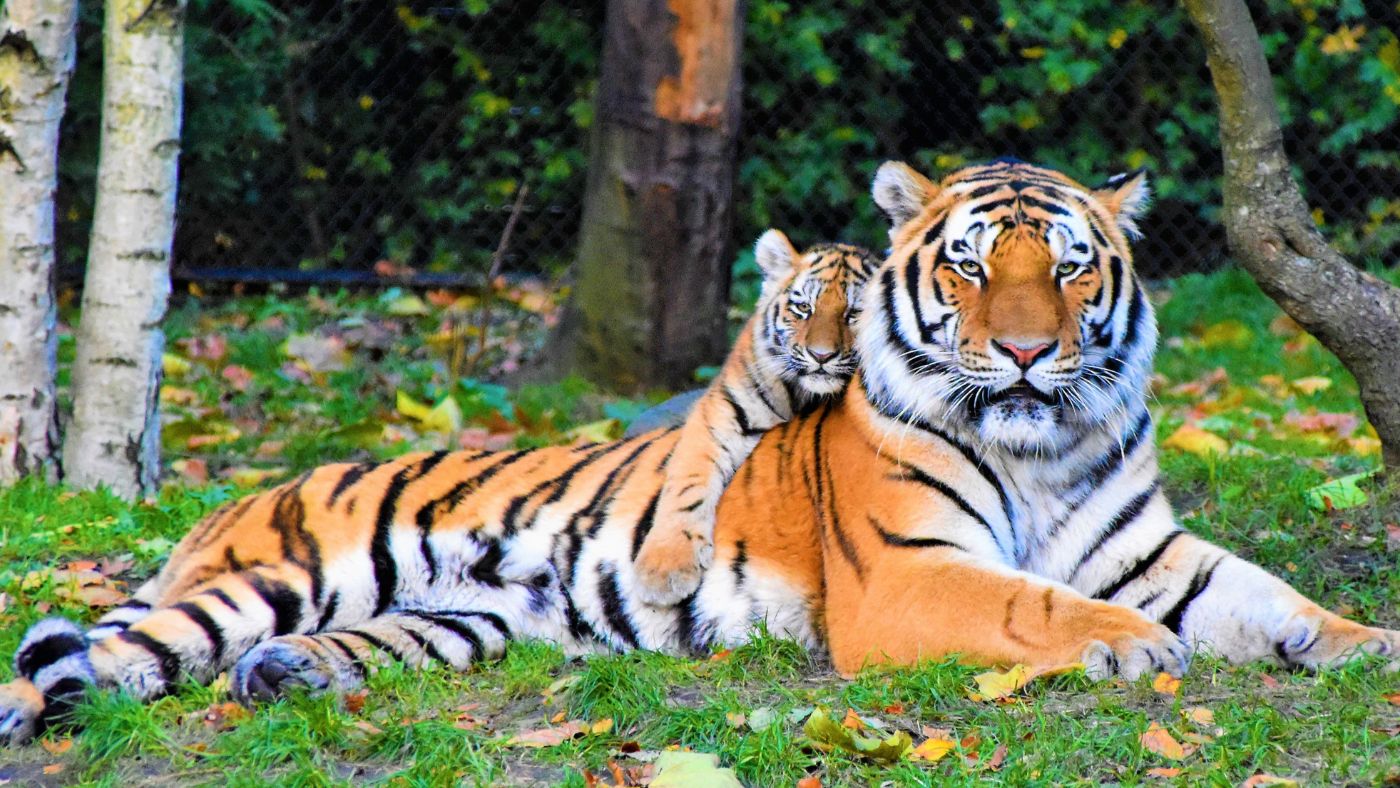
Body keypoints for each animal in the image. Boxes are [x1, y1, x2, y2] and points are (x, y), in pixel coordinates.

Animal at [632, 230, 878, 605]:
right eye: (804, 308)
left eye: (854, 312)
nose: (821, 356)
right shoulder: (720, 413)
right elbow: (688, 483)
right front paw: (664, 571)